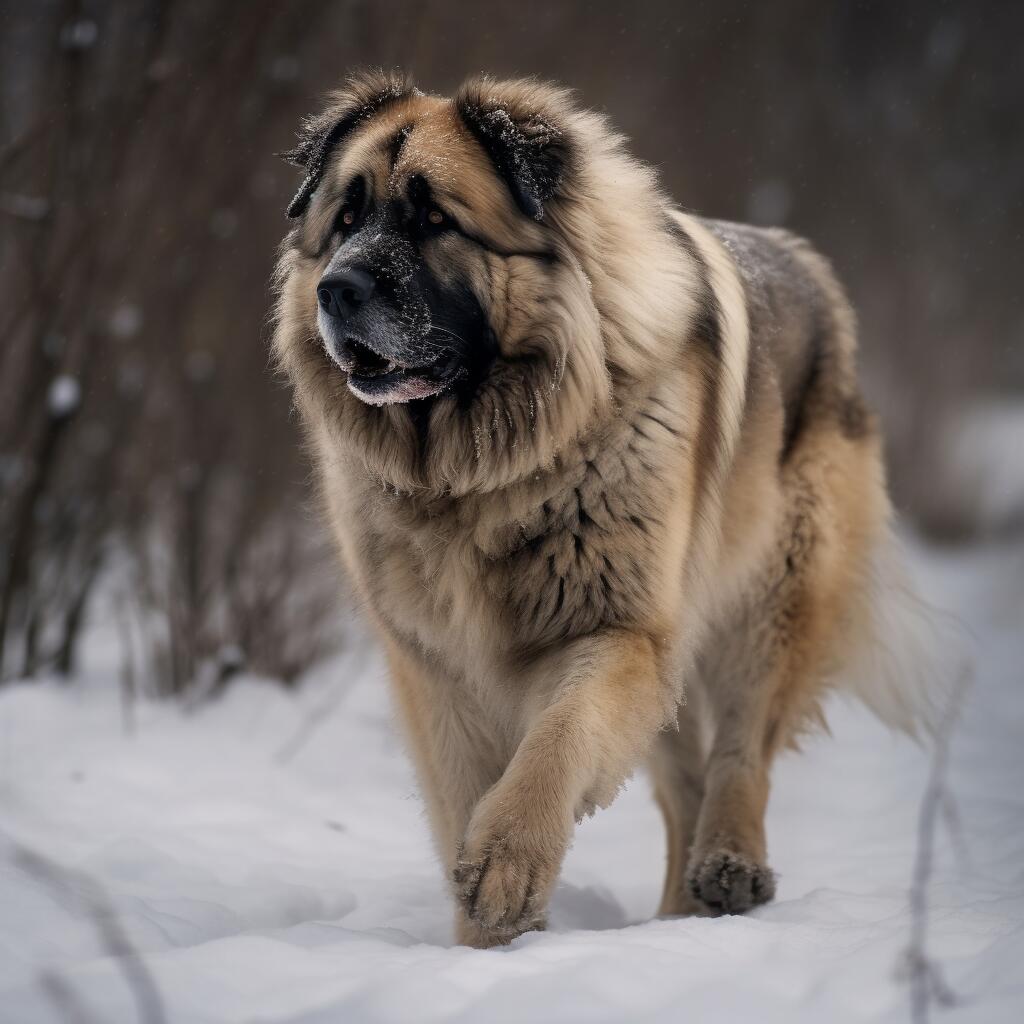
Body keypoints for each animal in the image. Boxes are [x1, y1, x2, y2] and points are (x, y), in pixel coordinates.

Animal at [272, 70, 937, 950]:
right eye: (346, 220)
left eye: (436, 220)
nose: (335, 290)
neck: (478, 475)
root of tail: (806, 262)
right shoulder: (436, 666)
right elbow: (463, 794)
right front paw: (482, 944)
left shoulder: (617, 628)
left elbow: (560, 738)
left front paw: (507, 866)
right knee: (685, 783)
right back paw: (681, 907)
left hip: (777, 593)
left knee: (741, 750)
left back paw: (729, 866)